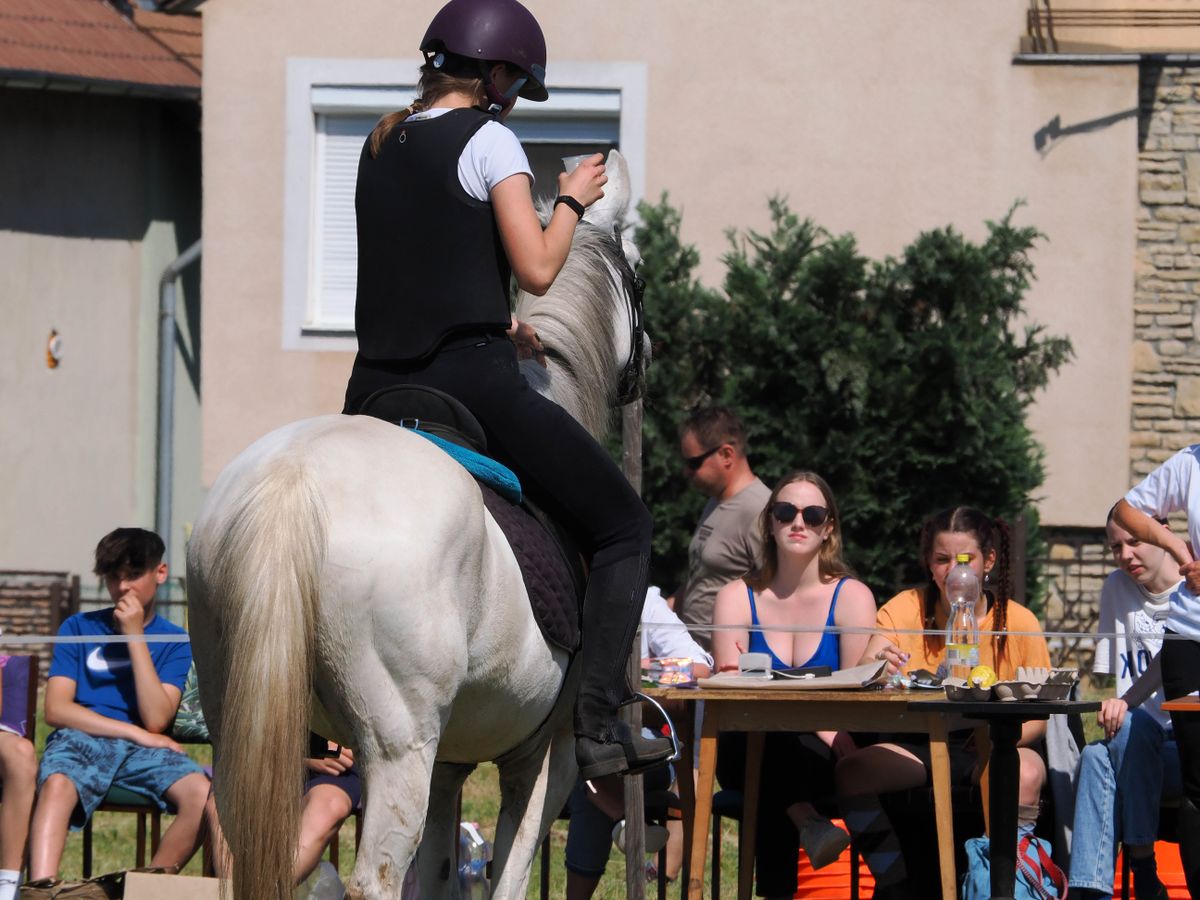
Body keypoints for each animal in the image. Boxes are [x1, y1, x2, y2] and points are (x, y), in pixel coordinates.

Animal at [186, 151, 648, 897]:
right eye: (638, 271)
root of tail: (292, 481)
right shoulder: (542, 764)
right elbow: (508, 878)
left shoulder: (451, 765)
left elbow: (434, 876)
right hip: (398, 745)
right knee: (372, 879)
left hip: (245, 735)